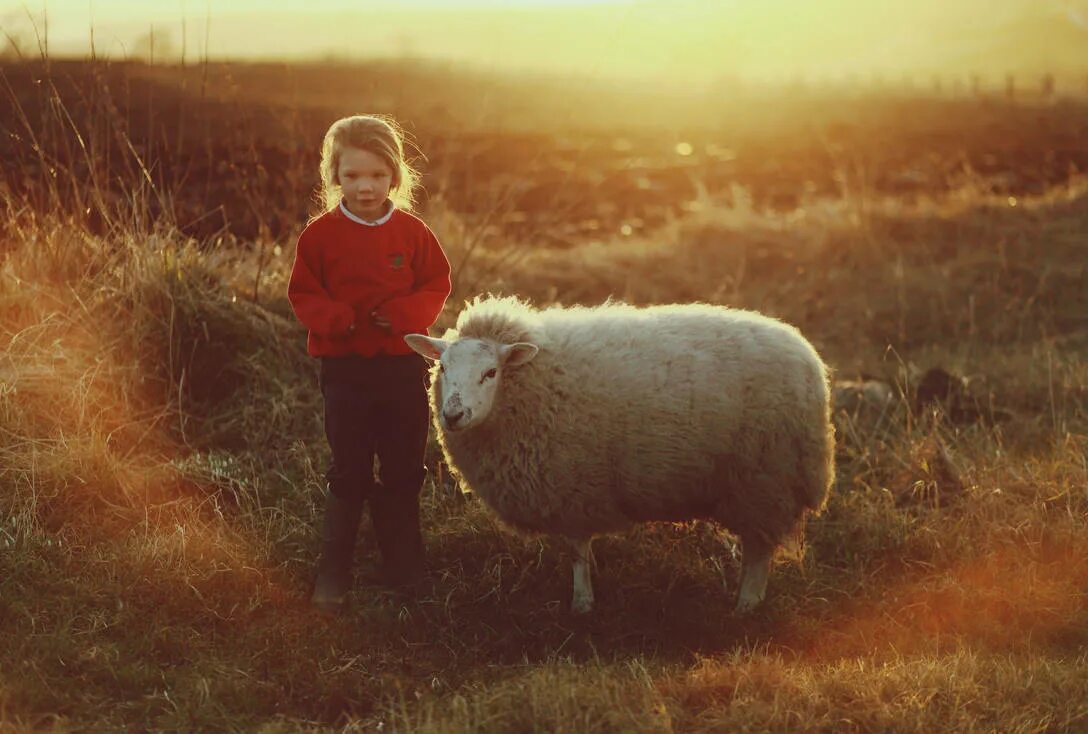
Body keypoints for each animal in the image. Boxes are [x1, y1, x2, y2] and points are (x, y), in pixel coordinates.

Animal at [404, 297, 835, 613]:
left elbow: (577, 550)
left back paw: (746, 605)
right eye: (443, 367)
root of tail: (811, 361)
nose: (453, 415)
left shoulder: (572, 486)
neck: (533, 384)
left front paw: (582, 603)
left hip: (765, 477)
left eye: (490, 373)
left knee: (759, 550)